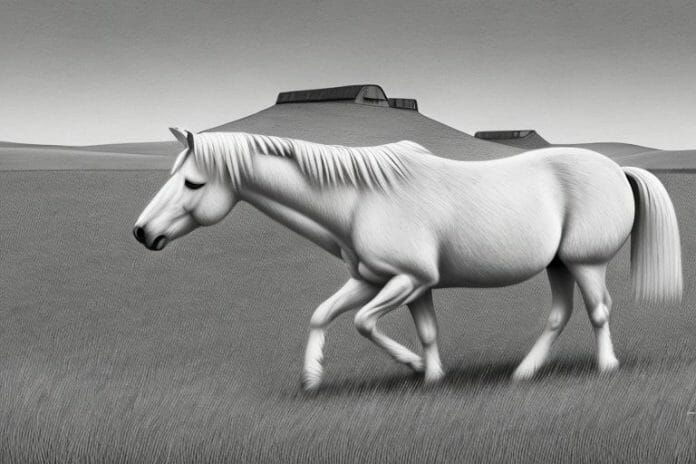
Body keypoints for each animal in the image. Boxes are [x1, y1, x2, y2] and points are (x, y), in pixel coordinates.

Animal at [133, 127, 682, 390]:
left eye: (193, 183)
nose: (142, 233)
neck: (361, 197)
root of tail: (616, 169)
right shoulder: (385, 281)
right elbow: (330, 316)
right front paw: (316, 378)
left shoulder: (406, 281)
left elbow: (363, 323)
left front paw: (415, 368)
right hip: (558, 265)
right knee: (559, 314)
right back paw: (523, 374)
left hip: (585, 262)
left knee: (598, 312)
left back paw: (606, 368)